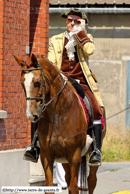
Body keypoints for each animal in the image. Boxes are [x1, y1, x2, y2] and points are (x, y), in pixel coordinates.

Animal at [13, 53, 103, 194]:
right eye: (22, 83)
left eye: (37, 82)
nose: (31, 115)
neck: (58, 115)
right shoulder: (46, 155)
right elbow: (50, 187)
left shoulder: (74, 155)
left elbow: (74, 188)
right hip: (64, 160)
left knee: (92, 181)